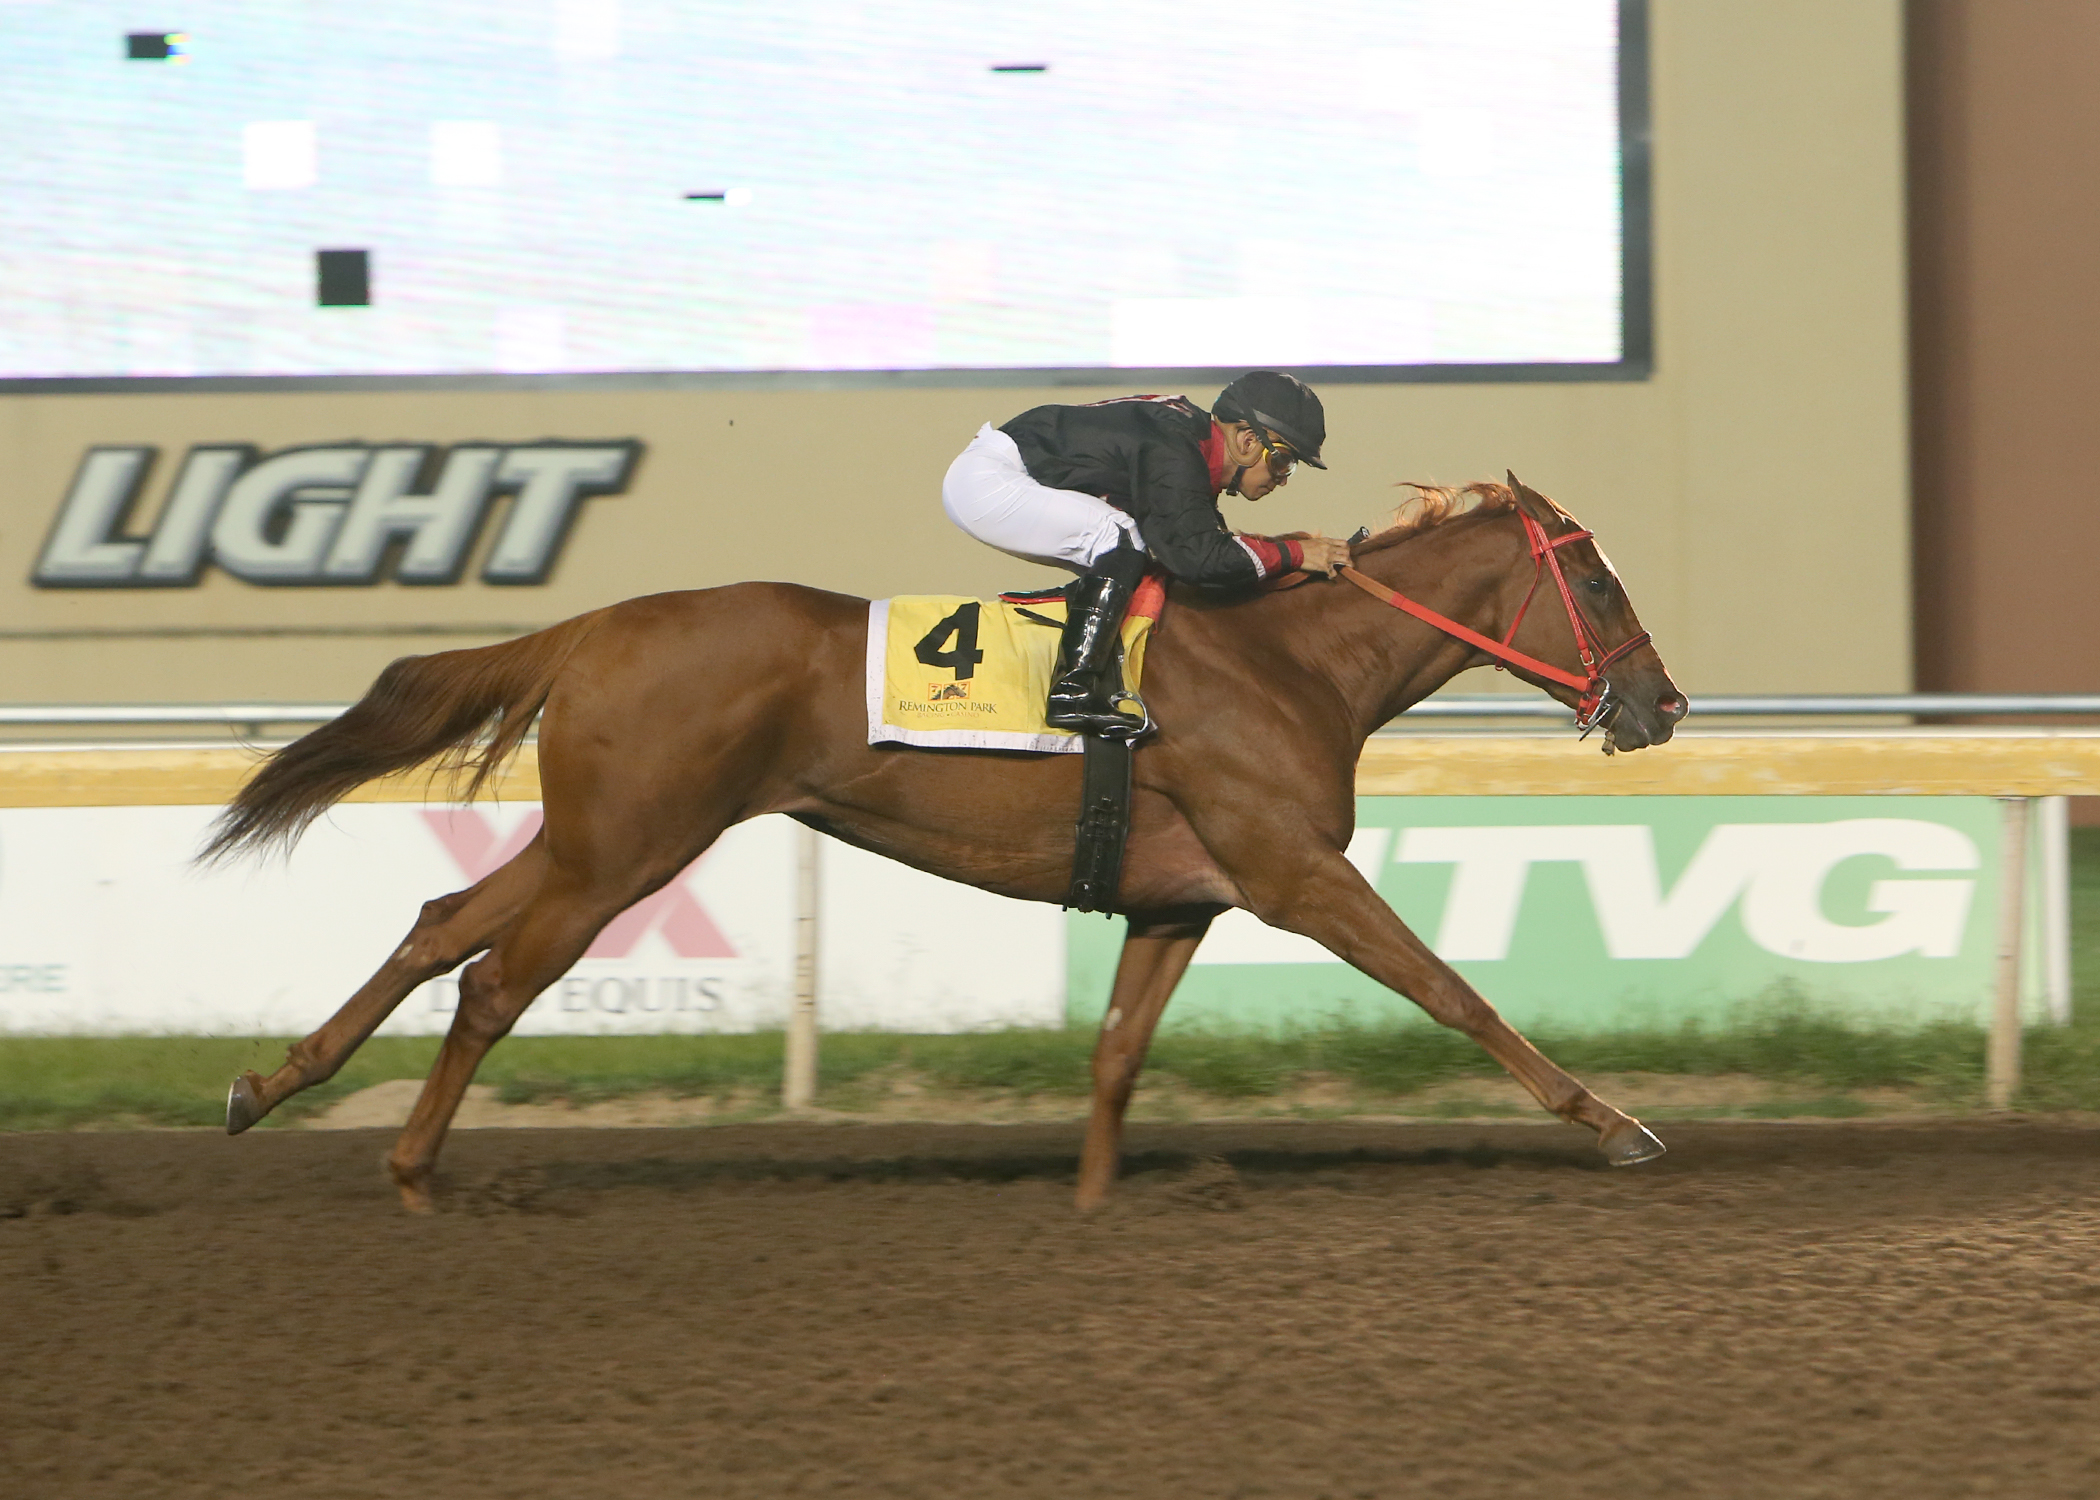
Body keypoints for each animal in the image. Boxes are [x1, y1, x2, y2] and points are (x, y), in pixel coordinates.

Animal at [206, 474, 1687, 1213]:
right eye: (1596, 578)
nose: (1663, 704)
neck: (1293, 663)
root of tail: (599, 625)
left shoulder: (1179, 903)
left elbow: (1114, 1056)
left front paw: (1089, 1205)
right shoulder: (1295, 873)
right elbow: (1454, 992)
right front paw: (1616, 1124)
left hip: (590, 838)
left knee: (438, 928)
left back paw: (267, 1090)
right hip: (628, 850)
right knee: (493, 981)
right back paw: (410, 1175)